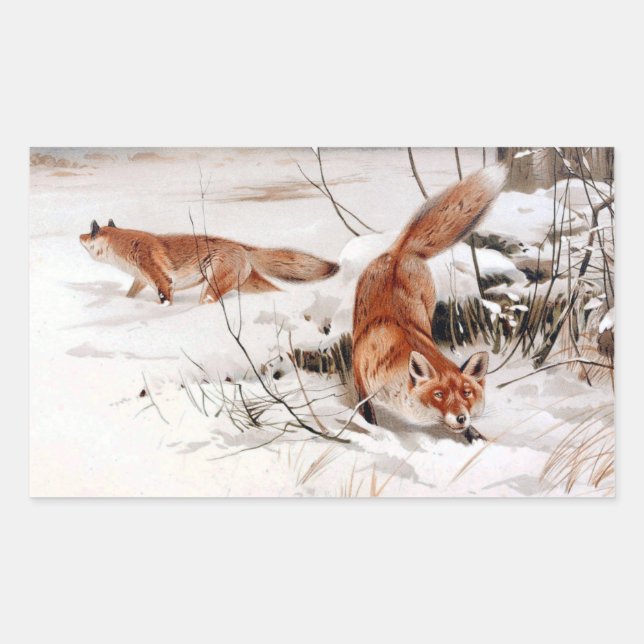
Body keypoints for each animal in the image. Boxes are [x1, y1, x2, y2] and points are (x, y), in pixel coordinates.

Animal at [79, 219, 339, 305]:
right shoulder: (142, 280)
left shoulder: (163, 282)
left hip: (211, 289)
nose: (78, 236)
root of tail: (241, 246)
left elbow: (165, 302)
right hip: (247, 285)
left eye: (89, 233)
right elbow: (129, 295)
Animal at [352, 164, 508, 443]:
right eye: (439, 395)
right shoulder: (362, 378)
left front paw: (477, 439)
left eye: (466, 393)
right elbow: (366, 413)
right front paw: (374, 432)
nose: (461, 417)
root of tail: (400, 252)